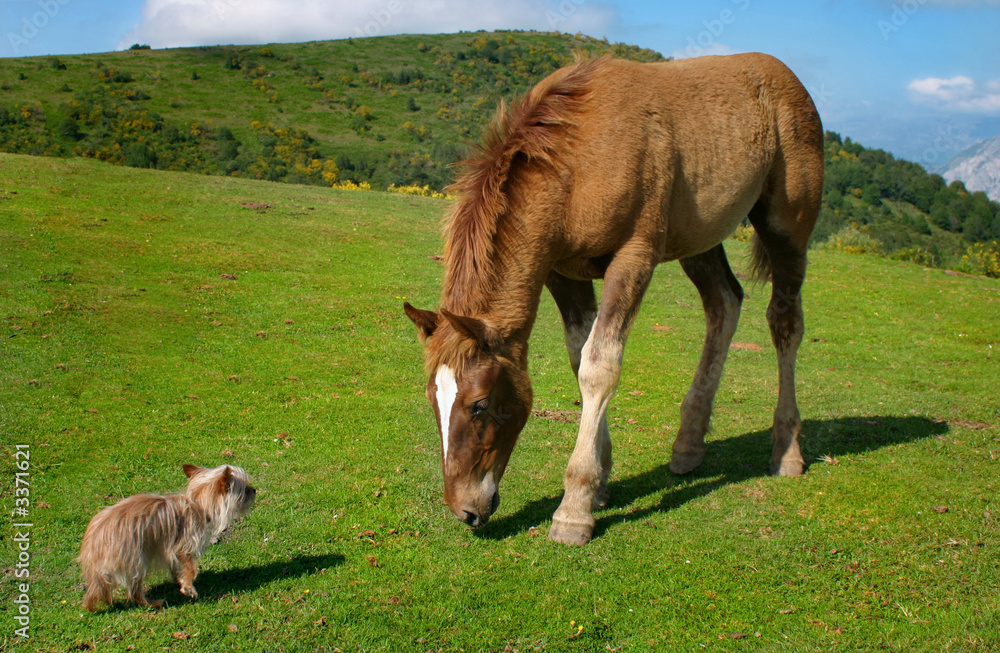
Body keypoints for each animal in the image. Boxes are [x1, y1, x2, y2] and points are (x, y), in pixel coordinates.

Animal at [404, 53, 824, 545]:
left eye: (479, 404)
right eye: (433, 398)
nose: (465, 510)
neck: (576, 164)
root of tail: (786, 76)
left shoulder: (634, 258)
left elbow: (599, 365)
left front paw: (575, 508)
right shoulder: (561, 271)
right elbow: (578, 358)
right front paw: (601, 483)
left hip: (787, 227)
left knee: (785, 322)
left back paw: (787, 450)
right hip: (698, 238)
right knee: (724, 302)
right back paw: (688, 445)